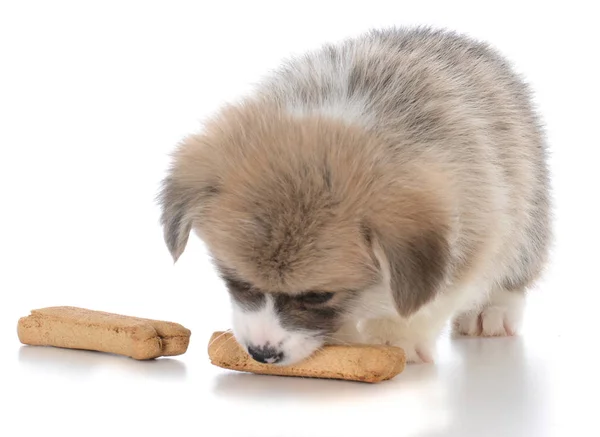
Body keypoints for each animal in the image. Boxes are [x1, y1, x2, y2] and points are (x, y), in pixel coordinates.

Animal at [158, 25, 548, 362]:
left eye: (319, 295)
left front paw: (395, 339)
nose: (261, 354)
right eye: (234, 279)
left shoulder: (475, 231)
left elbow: (428, 301)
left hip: (528, 212)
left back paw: (491, 311)